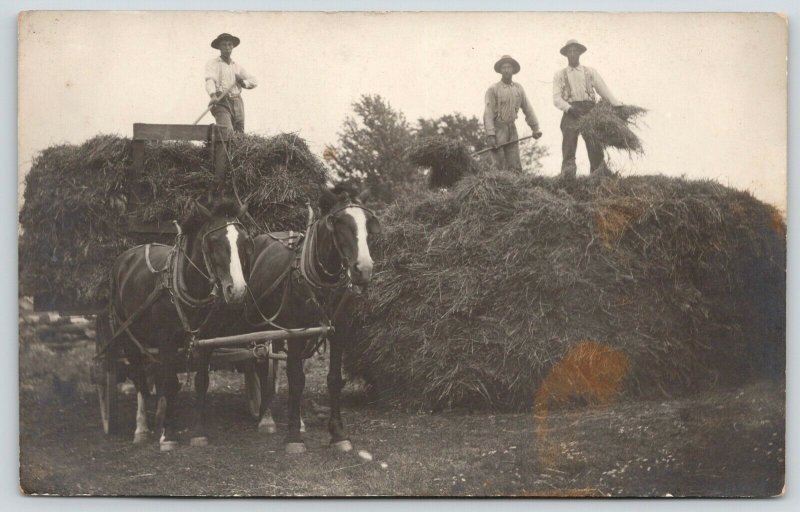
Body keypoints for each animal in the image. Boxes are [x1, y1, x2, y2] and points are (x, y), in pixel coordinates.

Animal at [100, 198, 252, 450]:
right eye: (213, 242)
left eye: (245, 241)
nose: (238, 291)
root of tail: (125, 257)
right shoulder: (167, 339)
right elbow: (170, 382)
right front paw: (168, 435)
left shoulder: (204, 341)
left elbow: (200, 382)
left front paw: (198, 432)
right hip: (128, 335)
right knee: (139, 376)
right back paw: (142, 428)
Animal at [193, 186, 382, 454]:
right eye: (338, 222)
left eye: (368, 223)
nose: (363, 270)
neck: (319, 280)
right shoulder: (295, 332)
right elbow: (296, 379)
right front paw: (294, 436)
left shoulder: (338, 331)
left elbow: (334, 379)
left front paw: (338, 433)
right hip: (224, 320)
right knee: (209, 360)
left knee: (261, 362)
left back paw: (268, 417)